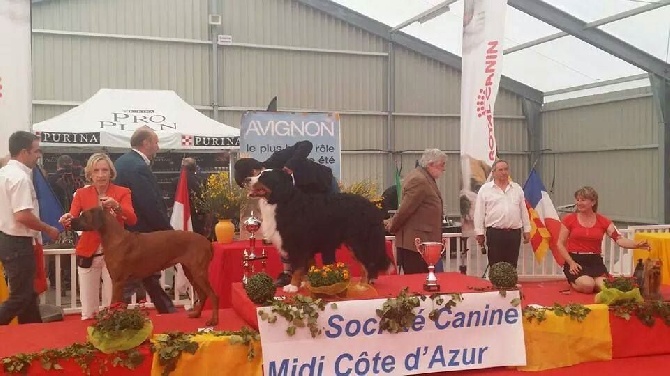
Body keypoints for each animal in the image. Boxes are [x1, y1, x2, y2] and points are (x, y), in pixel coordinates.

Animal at [73, 206, 220, 326]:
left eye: (83, 215)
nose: (71, 221)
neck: (114, 238)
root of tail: (207, 242)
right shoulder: (119, 282)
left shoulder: (118, 281)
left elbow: (113, 304)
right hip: (190, 271)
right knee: (203, 294)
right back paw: (196, 314)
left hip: (198, 272)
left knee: (213, 296)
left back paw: (214, 320)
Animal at [247, 169, 394, 292]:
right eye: (258, 173)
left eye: (264, 177)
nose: (246, 179)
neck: (282, 200)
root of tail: (374, 208)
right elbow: (307, 267)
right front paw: (305, 283)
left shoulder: (297, 244)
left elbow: (297, 267)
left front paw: (293, 286)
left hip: (359, 242)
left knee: (368, 264)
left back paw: (363, 286)